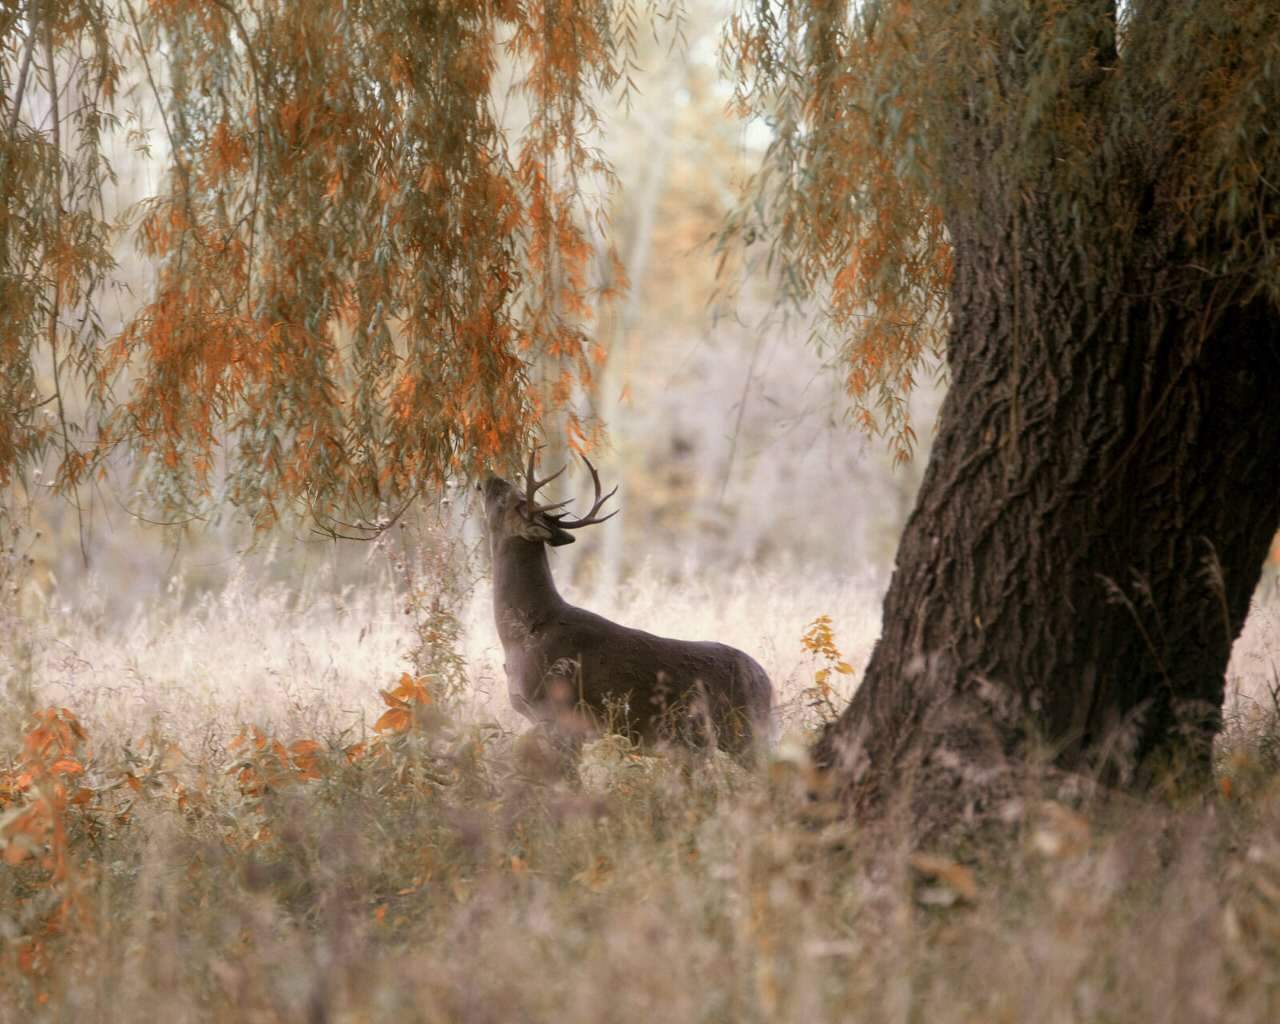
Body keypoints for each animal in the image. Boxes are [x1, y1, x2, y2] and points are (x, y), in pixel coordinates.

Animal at [480, 452, 773, 761]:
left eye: (511, 499)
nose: (489, 476)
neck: (524, 632)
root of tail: (767, 682)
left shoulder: (560, 714)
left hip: (745, 734)